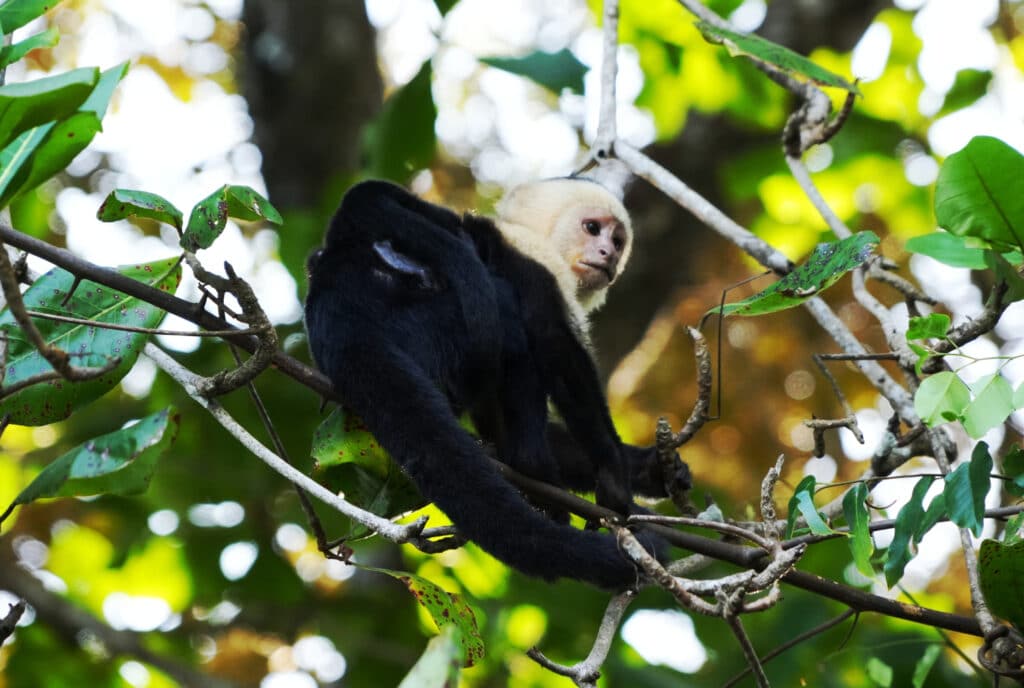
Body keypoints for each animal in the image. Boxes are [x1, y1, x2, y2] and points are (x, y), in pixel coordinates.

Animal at [304, 178, 690, 589]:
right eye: (592, 228)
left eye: (617, 241)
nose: (608, 254)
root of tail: (337, 313)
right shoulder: (535, 262)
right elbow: (557, 350)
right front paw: (615, 481)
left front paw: (652, 469)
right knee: (504, 316)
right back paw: (533, 466)